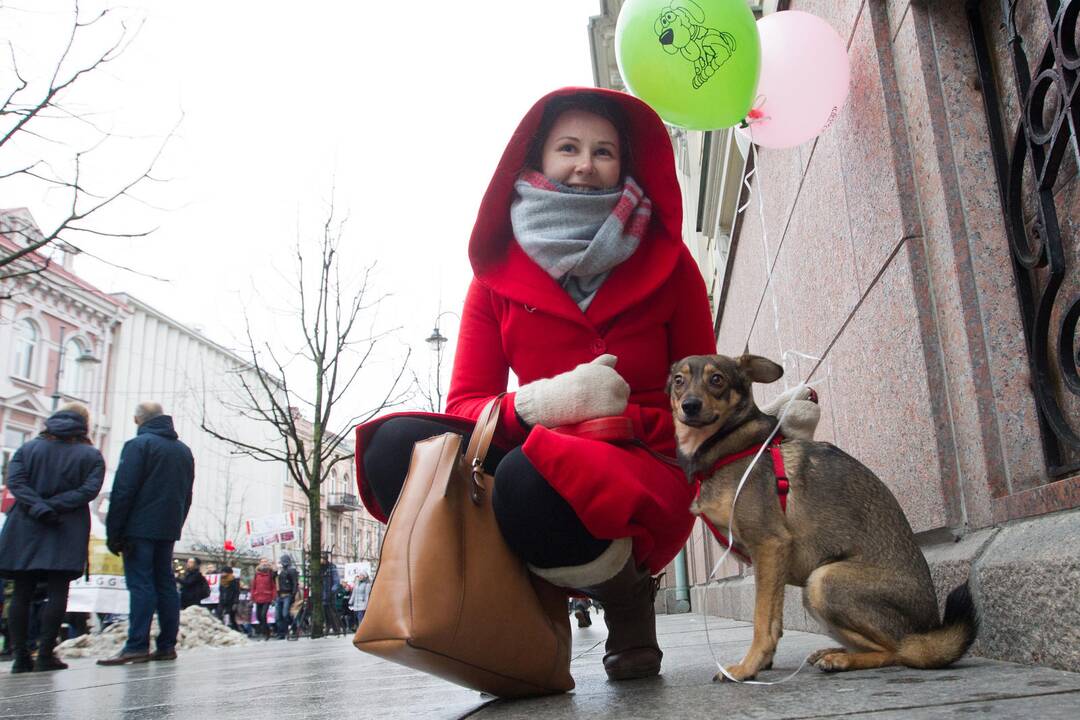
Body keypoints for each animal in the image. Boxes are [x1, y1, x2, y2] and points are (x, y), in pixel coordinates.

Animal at [665, 354, 980, 682]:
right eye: (678, 380)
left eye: (717, 379)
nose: (689, 405)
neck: (729, 445)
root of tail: (928, 628)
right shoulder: (767, 562)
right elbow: (773, 619)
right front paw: (762, 663)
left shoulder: (769, 544)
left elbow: (763, 621)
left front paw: (747, 667)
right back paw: (835, 652)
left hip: (823, 580)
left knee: (900, 650)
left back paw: (844, 659)